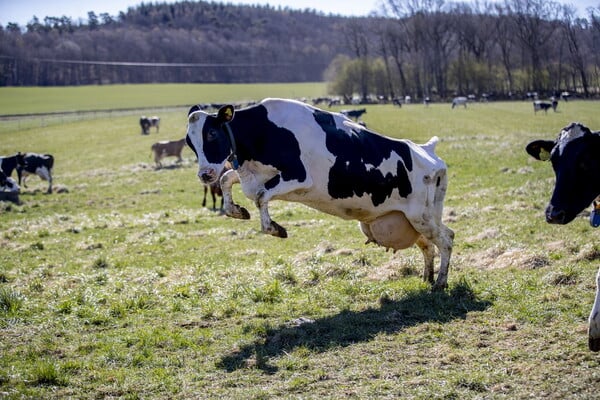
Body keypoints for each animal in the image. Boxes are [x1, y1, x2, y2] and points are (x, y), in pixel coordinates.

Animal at [185, 98, 452, 290]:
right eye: (189, 142)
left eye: (211, 134)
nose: (204, 174)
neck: (264, 132)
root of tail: (426, 150)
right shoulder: (252, 175)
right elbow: (227, 179)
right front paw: (236, 211)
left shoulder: (298, 177)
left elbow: (261, 196)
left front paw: (275, 229)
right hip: (413, 219)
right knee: (429, 245)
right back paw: (427, 277)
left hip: (422, 216)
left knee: (447, 239)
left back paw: (439, 283)